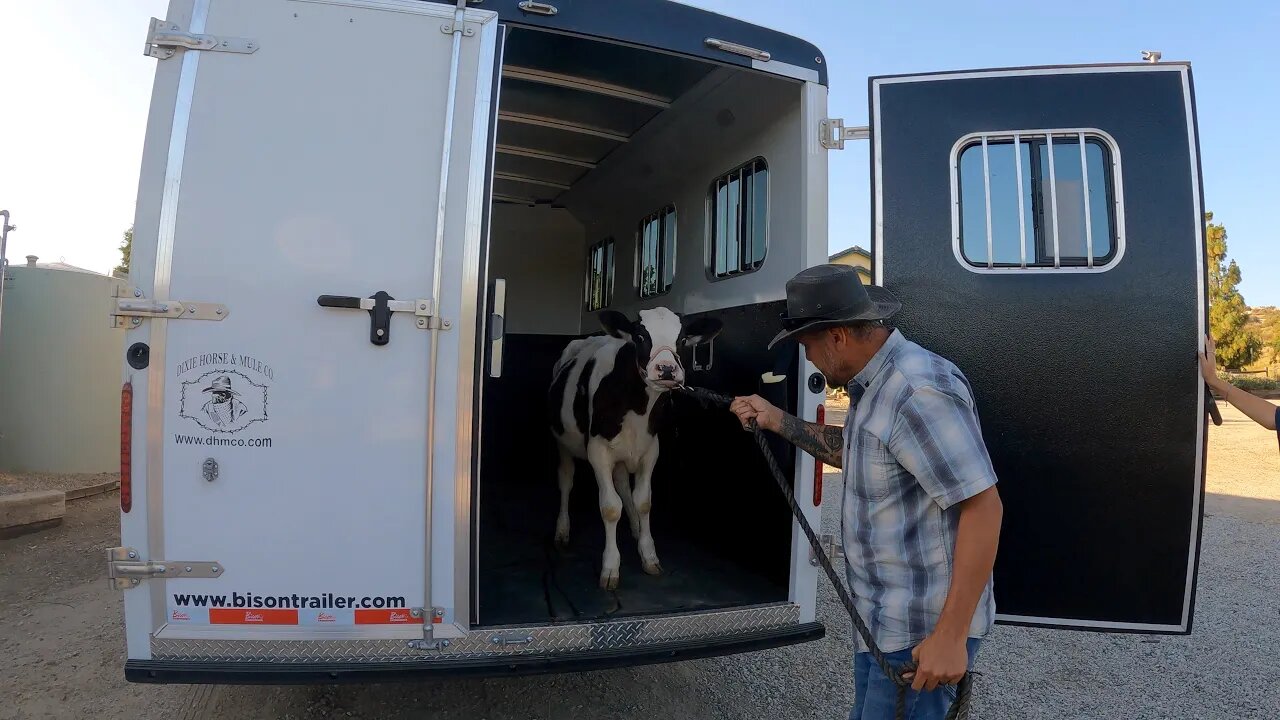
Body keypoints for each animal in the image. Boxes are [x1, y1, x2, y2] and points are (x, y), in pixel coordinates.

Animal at [547, 304, 727, 586]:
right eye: (640, 337)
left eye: (682, 340)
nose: (667, 369)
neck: (638, 408)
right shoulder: (597, 451)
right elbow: (610, 507)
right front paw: (610, 566)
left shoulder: (650, 449)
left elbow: (643, 501)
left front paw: (648, 554)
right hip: (562, 442)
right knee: (566, 481)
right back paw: (562, 531)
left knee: (622, 484)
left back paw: (633, 525)